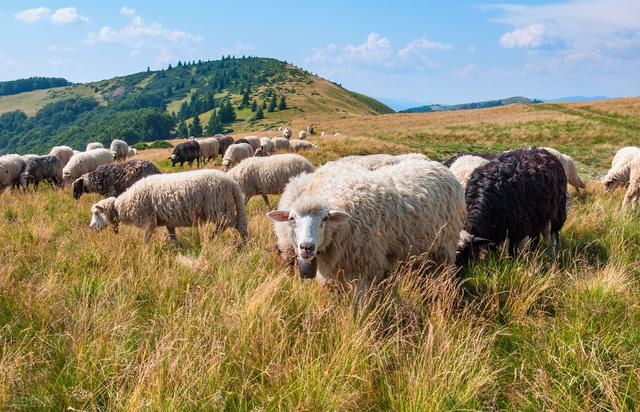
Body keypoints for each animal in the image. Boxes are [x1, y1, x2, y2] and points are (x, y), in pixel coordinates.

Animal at [89, 168, 249, 243]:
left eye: (96, 213)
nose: (91, 227)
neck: (124, 205)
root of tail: (232, 183)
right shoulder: (167, 220)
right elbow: (172, 237)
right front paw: (178, 248)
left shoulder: (148, 221)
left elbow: (146, 239)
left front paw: (146, 251)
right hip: (225, 207)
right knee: (238, 226)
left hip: (220, 208)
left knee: (229, 225)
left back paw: (214, 238)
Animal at [266, 159, 464, 296]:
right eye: (292, 219)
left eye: (324, 219)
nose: (307, 247)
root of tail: (438, 166)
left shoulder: (363, 268)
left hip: (444, 248)